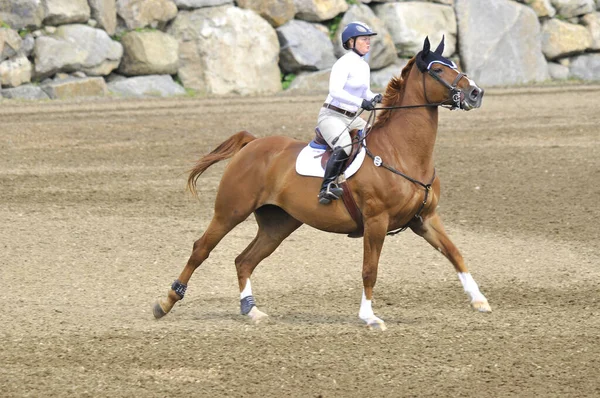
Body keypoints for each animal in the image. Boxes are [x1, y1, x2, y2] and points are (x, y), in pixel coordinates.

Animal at [152, 36, 490, 330]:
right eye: (438, 69)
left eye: (454, 64)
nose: (476, 93)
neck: (402, 152)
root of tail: (253, 143)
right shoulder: (376, 221)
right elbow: (370, 270)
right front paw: (369, 317)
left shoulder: (425, 219)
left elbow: (456, 254)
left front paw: (480, 300)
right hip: (230, 211)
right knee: (201, 249)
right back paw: (166, 302)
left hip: (278, 224)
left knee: (244, 260)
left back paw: (252, 310)